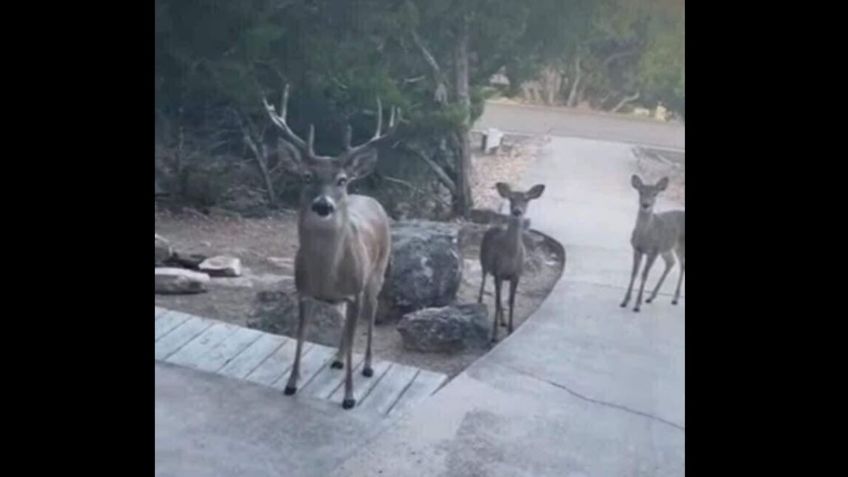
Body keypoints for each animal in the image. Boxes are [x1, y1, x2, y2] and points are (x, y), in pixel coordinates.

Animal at [262, 85, 398, 410]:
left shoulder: (356, 290)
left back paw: (367, 366)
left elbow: (354, 334)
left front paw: (349, 397)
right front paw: (291, 383)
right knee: (345, 326)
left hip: (377, 273)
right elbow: (300, 335)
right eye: (307, 176)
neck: (326, 275)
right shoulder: (303, 291)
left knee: (371, 315)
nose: (323, 205)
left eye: (342, 180)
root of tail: (372, 199)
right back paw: (336, 359)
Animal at [474, 182, 548, 342]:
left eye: (526, 199)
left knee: (500, 296)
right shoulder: (498, 272)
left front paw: (511, 329)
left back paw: (503, 321)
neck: (510, 255)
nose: (517, 211)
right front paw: (494, 335)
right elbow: (497, 301)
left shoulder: (516, 275)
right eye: (511, 199)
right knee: (483, 283)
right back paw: (479, 302)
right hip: (484, 262)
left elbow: (511, 301)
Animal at [620, 175, 684, 312]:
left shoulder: (653, 251)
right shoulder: (637, 249)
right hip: (666, 248)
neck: (646, 236)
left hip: (680, 245)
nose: (646, 205)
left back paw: (675, 299)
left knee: (682, 266)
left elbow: (645, 275)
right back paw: (650, 297)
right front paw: (625, 301)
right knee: (671, 263)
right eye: (641, 192)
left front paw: (637, 305)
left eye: (655, 194)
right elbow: (634, 273)